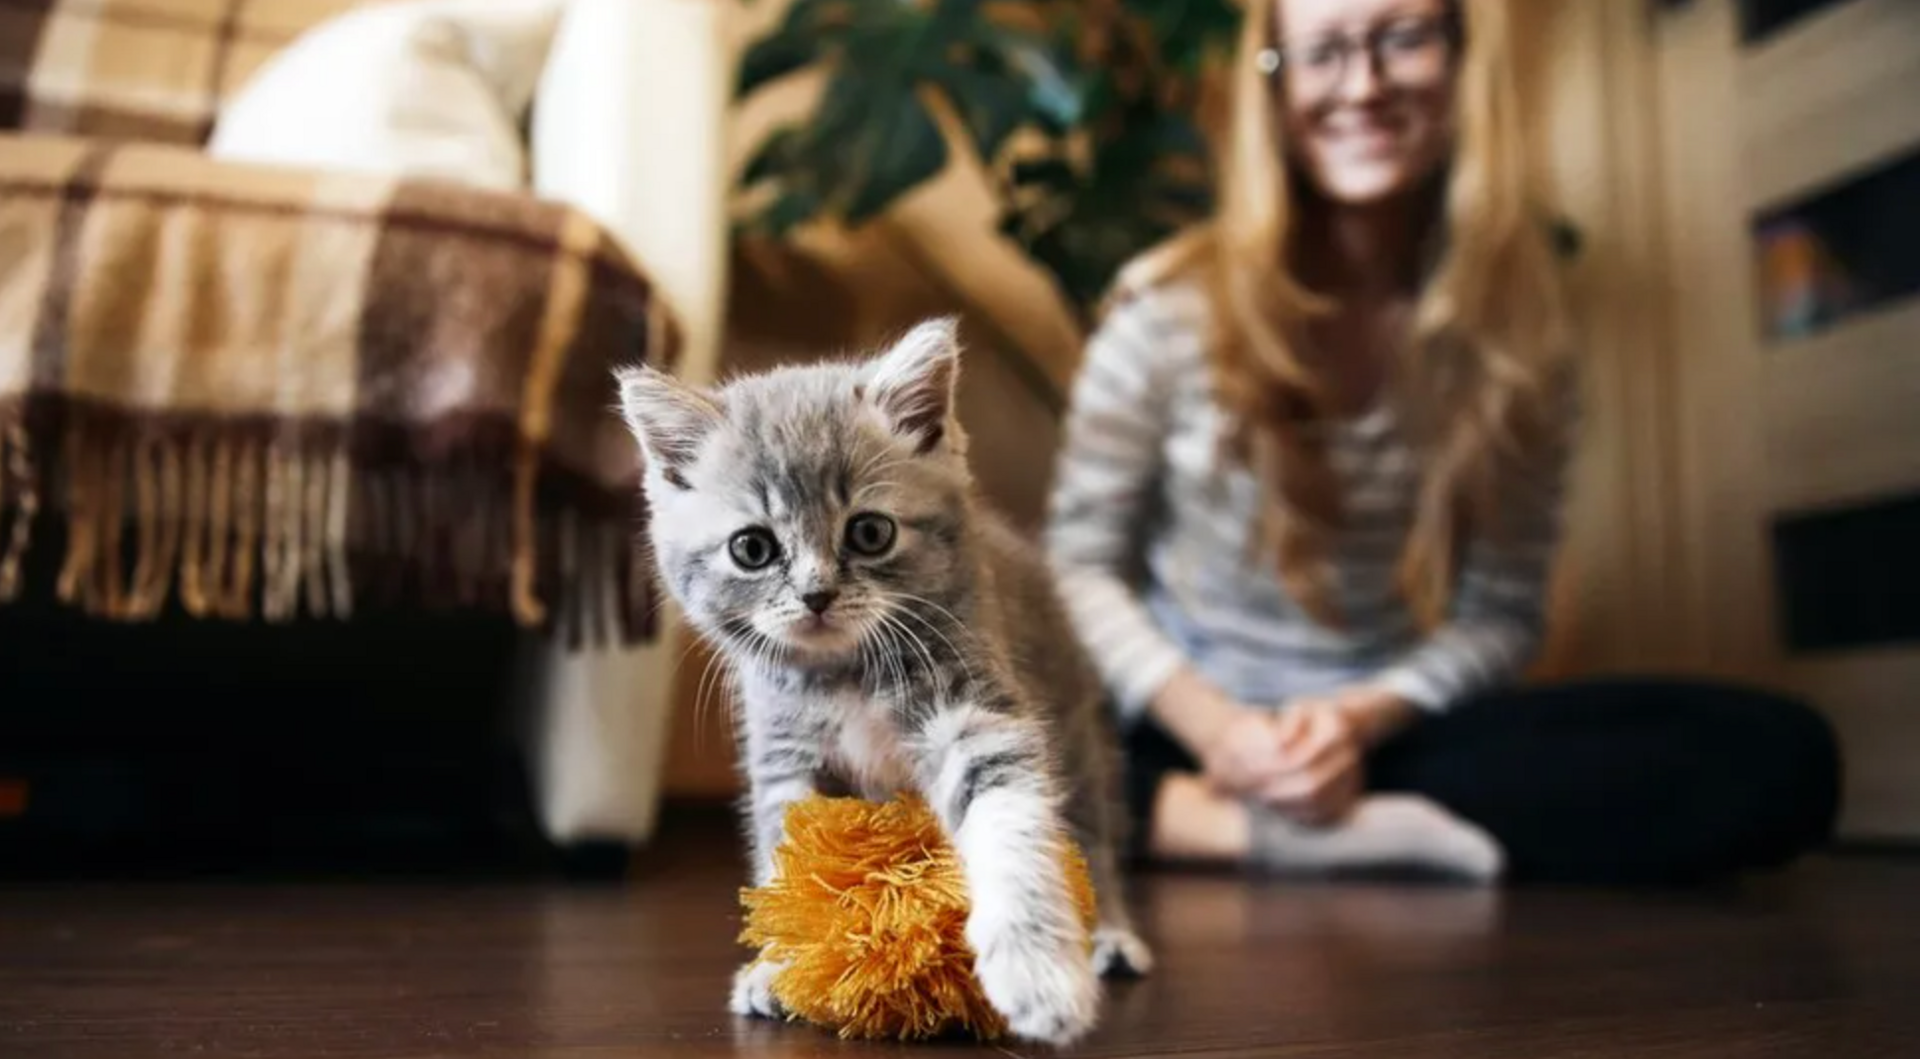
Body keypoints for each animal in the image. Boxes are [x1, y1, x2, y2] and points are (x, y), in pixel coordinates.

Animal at [622, 318, 1144, 1043]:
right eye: (752, 548)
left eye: (869, 532)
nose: (815, 595)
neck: (846, 673)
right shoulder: (786, 750)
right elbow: (790, 857)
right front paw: (778, 965)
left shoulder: (972, 707)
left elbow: (1010, 823)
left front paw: (1038, 967)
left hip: (1072, 724)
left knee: (1093, 829)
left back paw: (1111, 936)